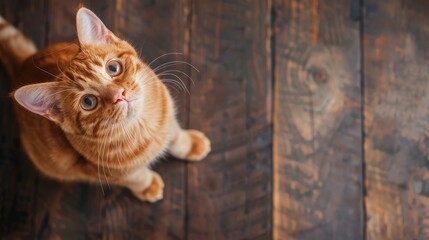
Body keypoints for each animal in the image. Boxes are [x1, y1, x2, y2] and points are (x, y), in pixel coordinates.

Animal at [0, 7, 209, 202]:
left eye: (113, 68)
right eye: (88, 102)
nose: (119, 95)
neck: (142, 127)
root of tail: (21, 67)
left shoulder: (167, 119)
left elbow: (176, 136)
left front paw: (191, 144)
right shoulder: (109, 172)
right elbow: (137, 177)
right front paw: (148, 186)